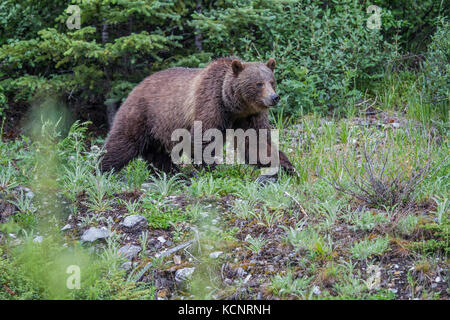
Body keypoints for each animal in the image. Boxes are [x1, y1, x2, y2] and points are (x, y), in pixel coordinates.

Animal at [100, 58, 294, 175]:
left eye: (272, 82)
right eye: (258, 83)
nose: (274, 97)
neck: (234, 106)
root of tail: (135, 87)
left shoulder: (250, 115)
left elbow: (256, 140)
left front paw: (286, 165)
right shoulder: (210, 101)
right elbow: (204, 137)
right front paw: (211, 166)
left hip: (158, 128)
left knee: (158, 153)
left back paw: (171, 172)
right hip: (142, 113)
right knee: (122, 143)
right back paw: (103, 169)